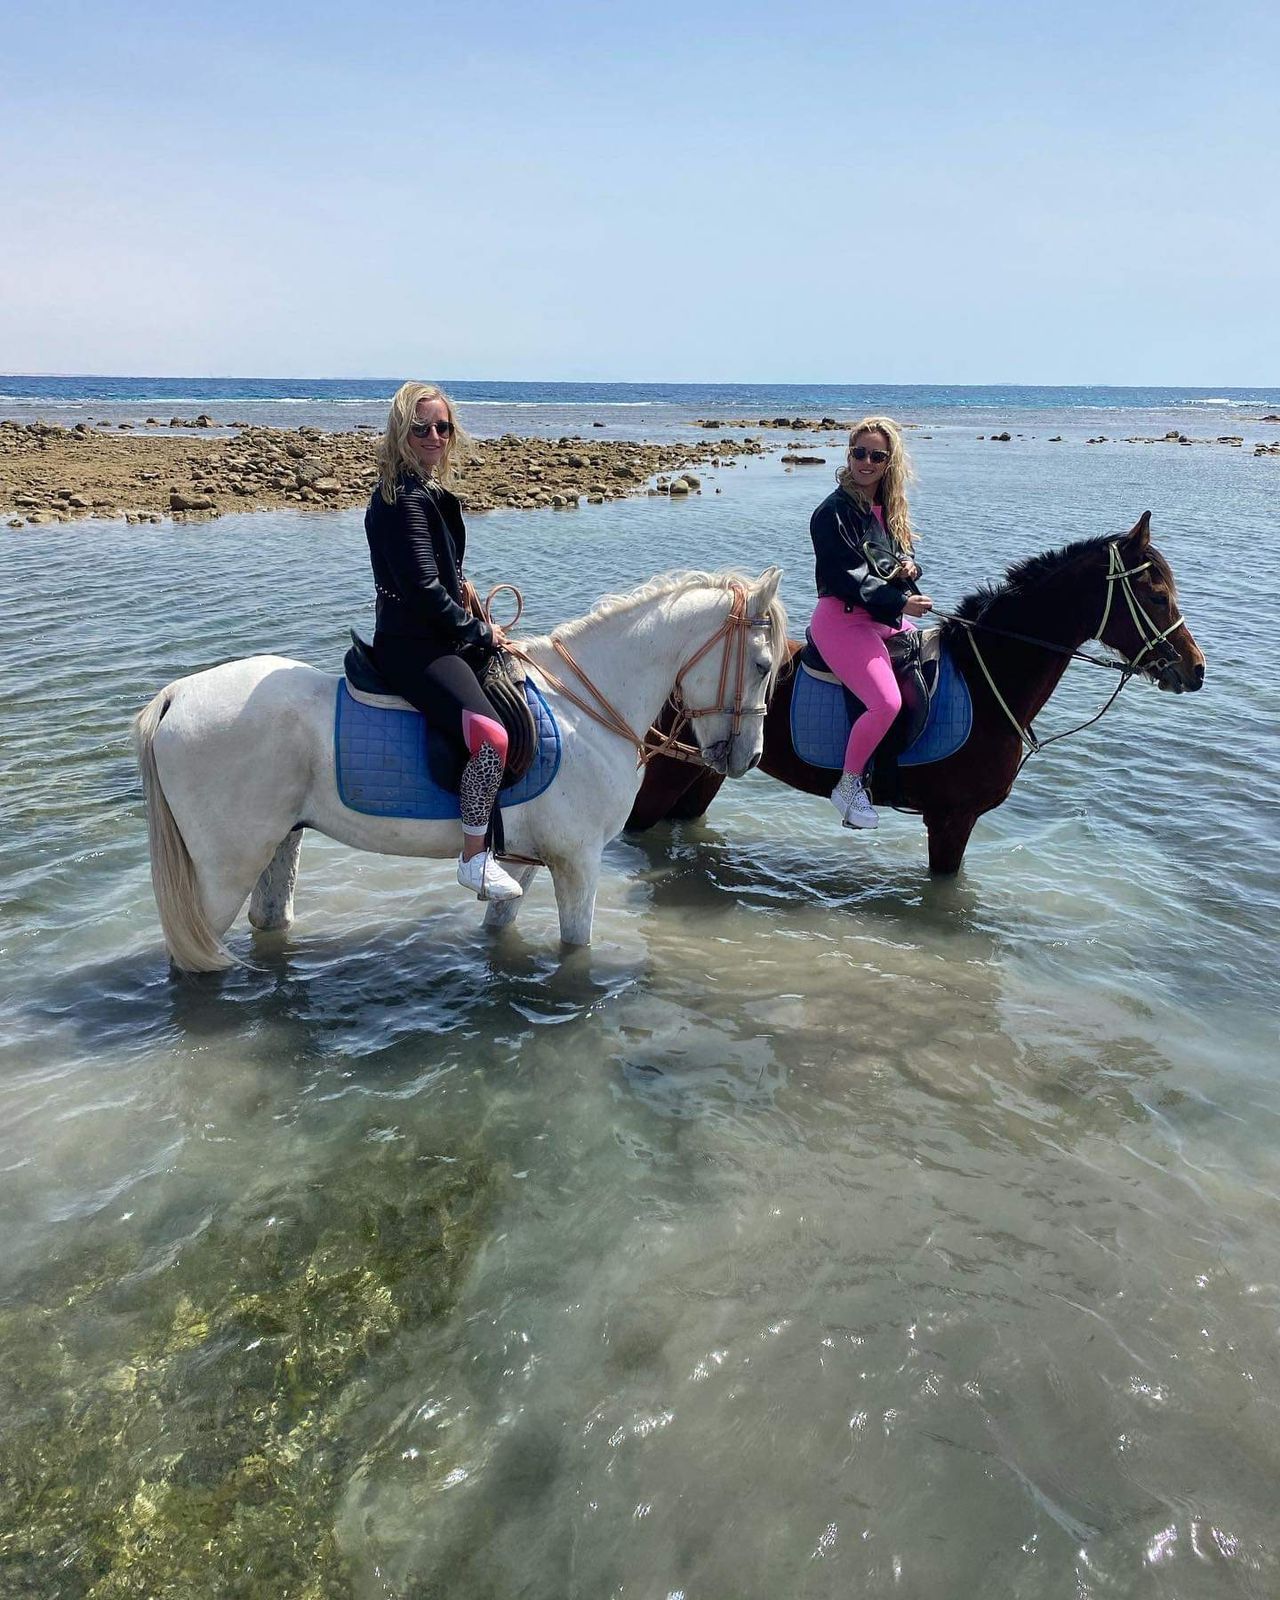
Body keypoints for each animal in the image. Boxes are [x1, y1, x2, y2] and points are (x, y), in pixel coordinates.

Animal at [134, 568, 787, 970]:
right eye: (761, 664)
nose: (749, 757)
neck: (583, 708)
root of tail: (177, 695)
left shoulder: (521, 863)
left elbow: (499, 929)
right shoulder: (579, 863)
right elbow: (576, 949)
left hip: (277, 845)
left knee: (269, 920)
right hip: (223, 871)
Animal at [626, 516, 1205, 872]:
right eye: (1156, 595)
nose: (1195, 670)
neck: (987, 678)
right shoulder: (952, 820)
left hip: (704, 772)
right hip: (668, 772)